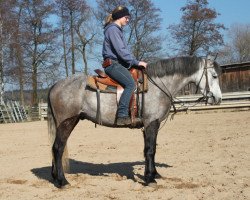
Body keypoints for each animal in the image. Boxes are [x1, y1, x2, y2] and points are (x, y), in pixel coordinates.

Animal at [47, 55, 222, 188]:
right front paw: (150, 180)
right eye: (214, 75)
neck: (157, 86)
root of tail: (55, 85)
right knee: (58, 148)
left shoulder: (149, 125)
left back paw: (55, 177)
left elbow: (149, 150)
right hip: (66, 122)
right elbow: (150, 150)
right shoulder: (152, 123)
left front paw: (153, 174)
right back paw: (62, 181)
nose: (218, 98)